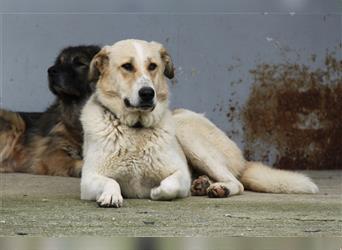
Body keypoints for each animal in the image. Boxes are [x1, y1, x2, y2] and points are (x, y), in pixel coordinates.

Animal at [80, 39, 318, 207]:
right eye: (127, 66)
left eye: (153, 66)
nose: (148, 93)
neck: (136, 129)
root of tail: (243, 161)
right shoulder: (88, 179)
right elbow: (111, 181)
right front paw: (112, 195)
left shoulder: (180, 174)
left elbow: (170, 185)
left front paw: (157, 192)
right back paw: (203, 184)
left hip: (188, 135)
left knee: (237, 182)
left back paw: (218, 188)